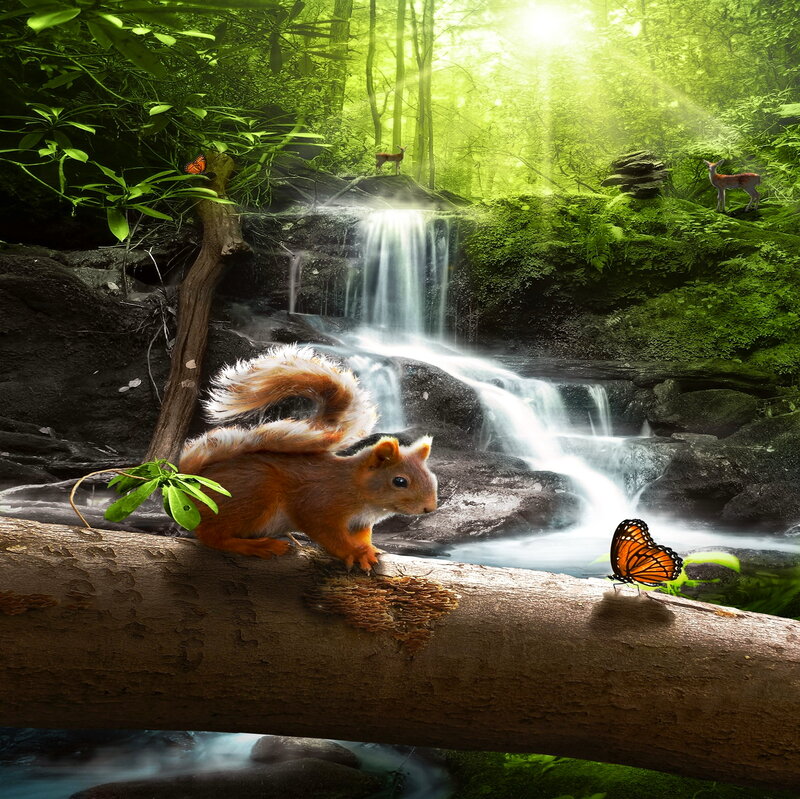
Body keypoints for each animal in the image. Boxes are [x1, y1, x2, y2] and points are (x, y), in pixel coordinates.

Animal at [179, 344, 437, 571]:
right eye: (400, 481)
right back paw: (255, 546)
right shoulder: (318, 504)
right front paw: (354, 553)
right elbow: (327, 534)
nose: (429, 508)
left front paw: (367, 549)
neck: (354, 487)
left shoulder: (360, 523)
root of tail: (193, 482)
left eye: (433, 478)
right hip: (252, 494)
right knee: (211, 535)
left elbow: (362, 537)